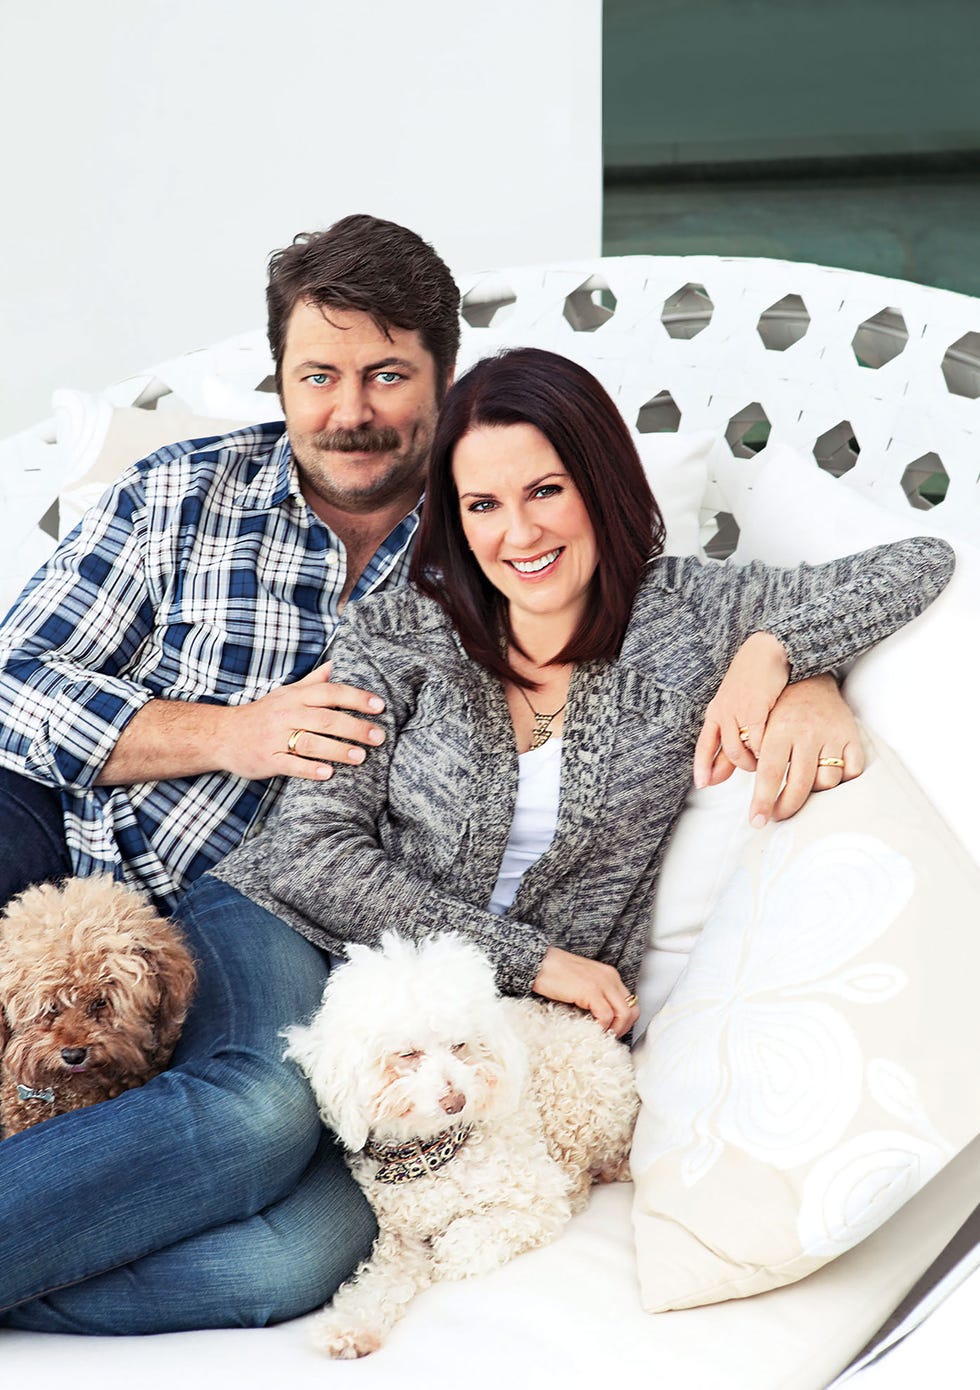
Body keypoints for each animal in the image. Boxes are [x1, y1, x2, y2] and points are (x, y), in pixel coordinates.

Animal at [283, 934, 633, 1356]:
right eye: (408, 1053)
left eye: (459, 1045)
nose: (456, 1101)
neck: (429, 1153)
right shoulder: (399, 1235)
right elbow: (377, 1282)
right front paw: (349, 1327)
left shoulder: (536, 1202)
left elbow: (464, 1239)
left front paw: (449, 1253)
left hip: (578, 1095)